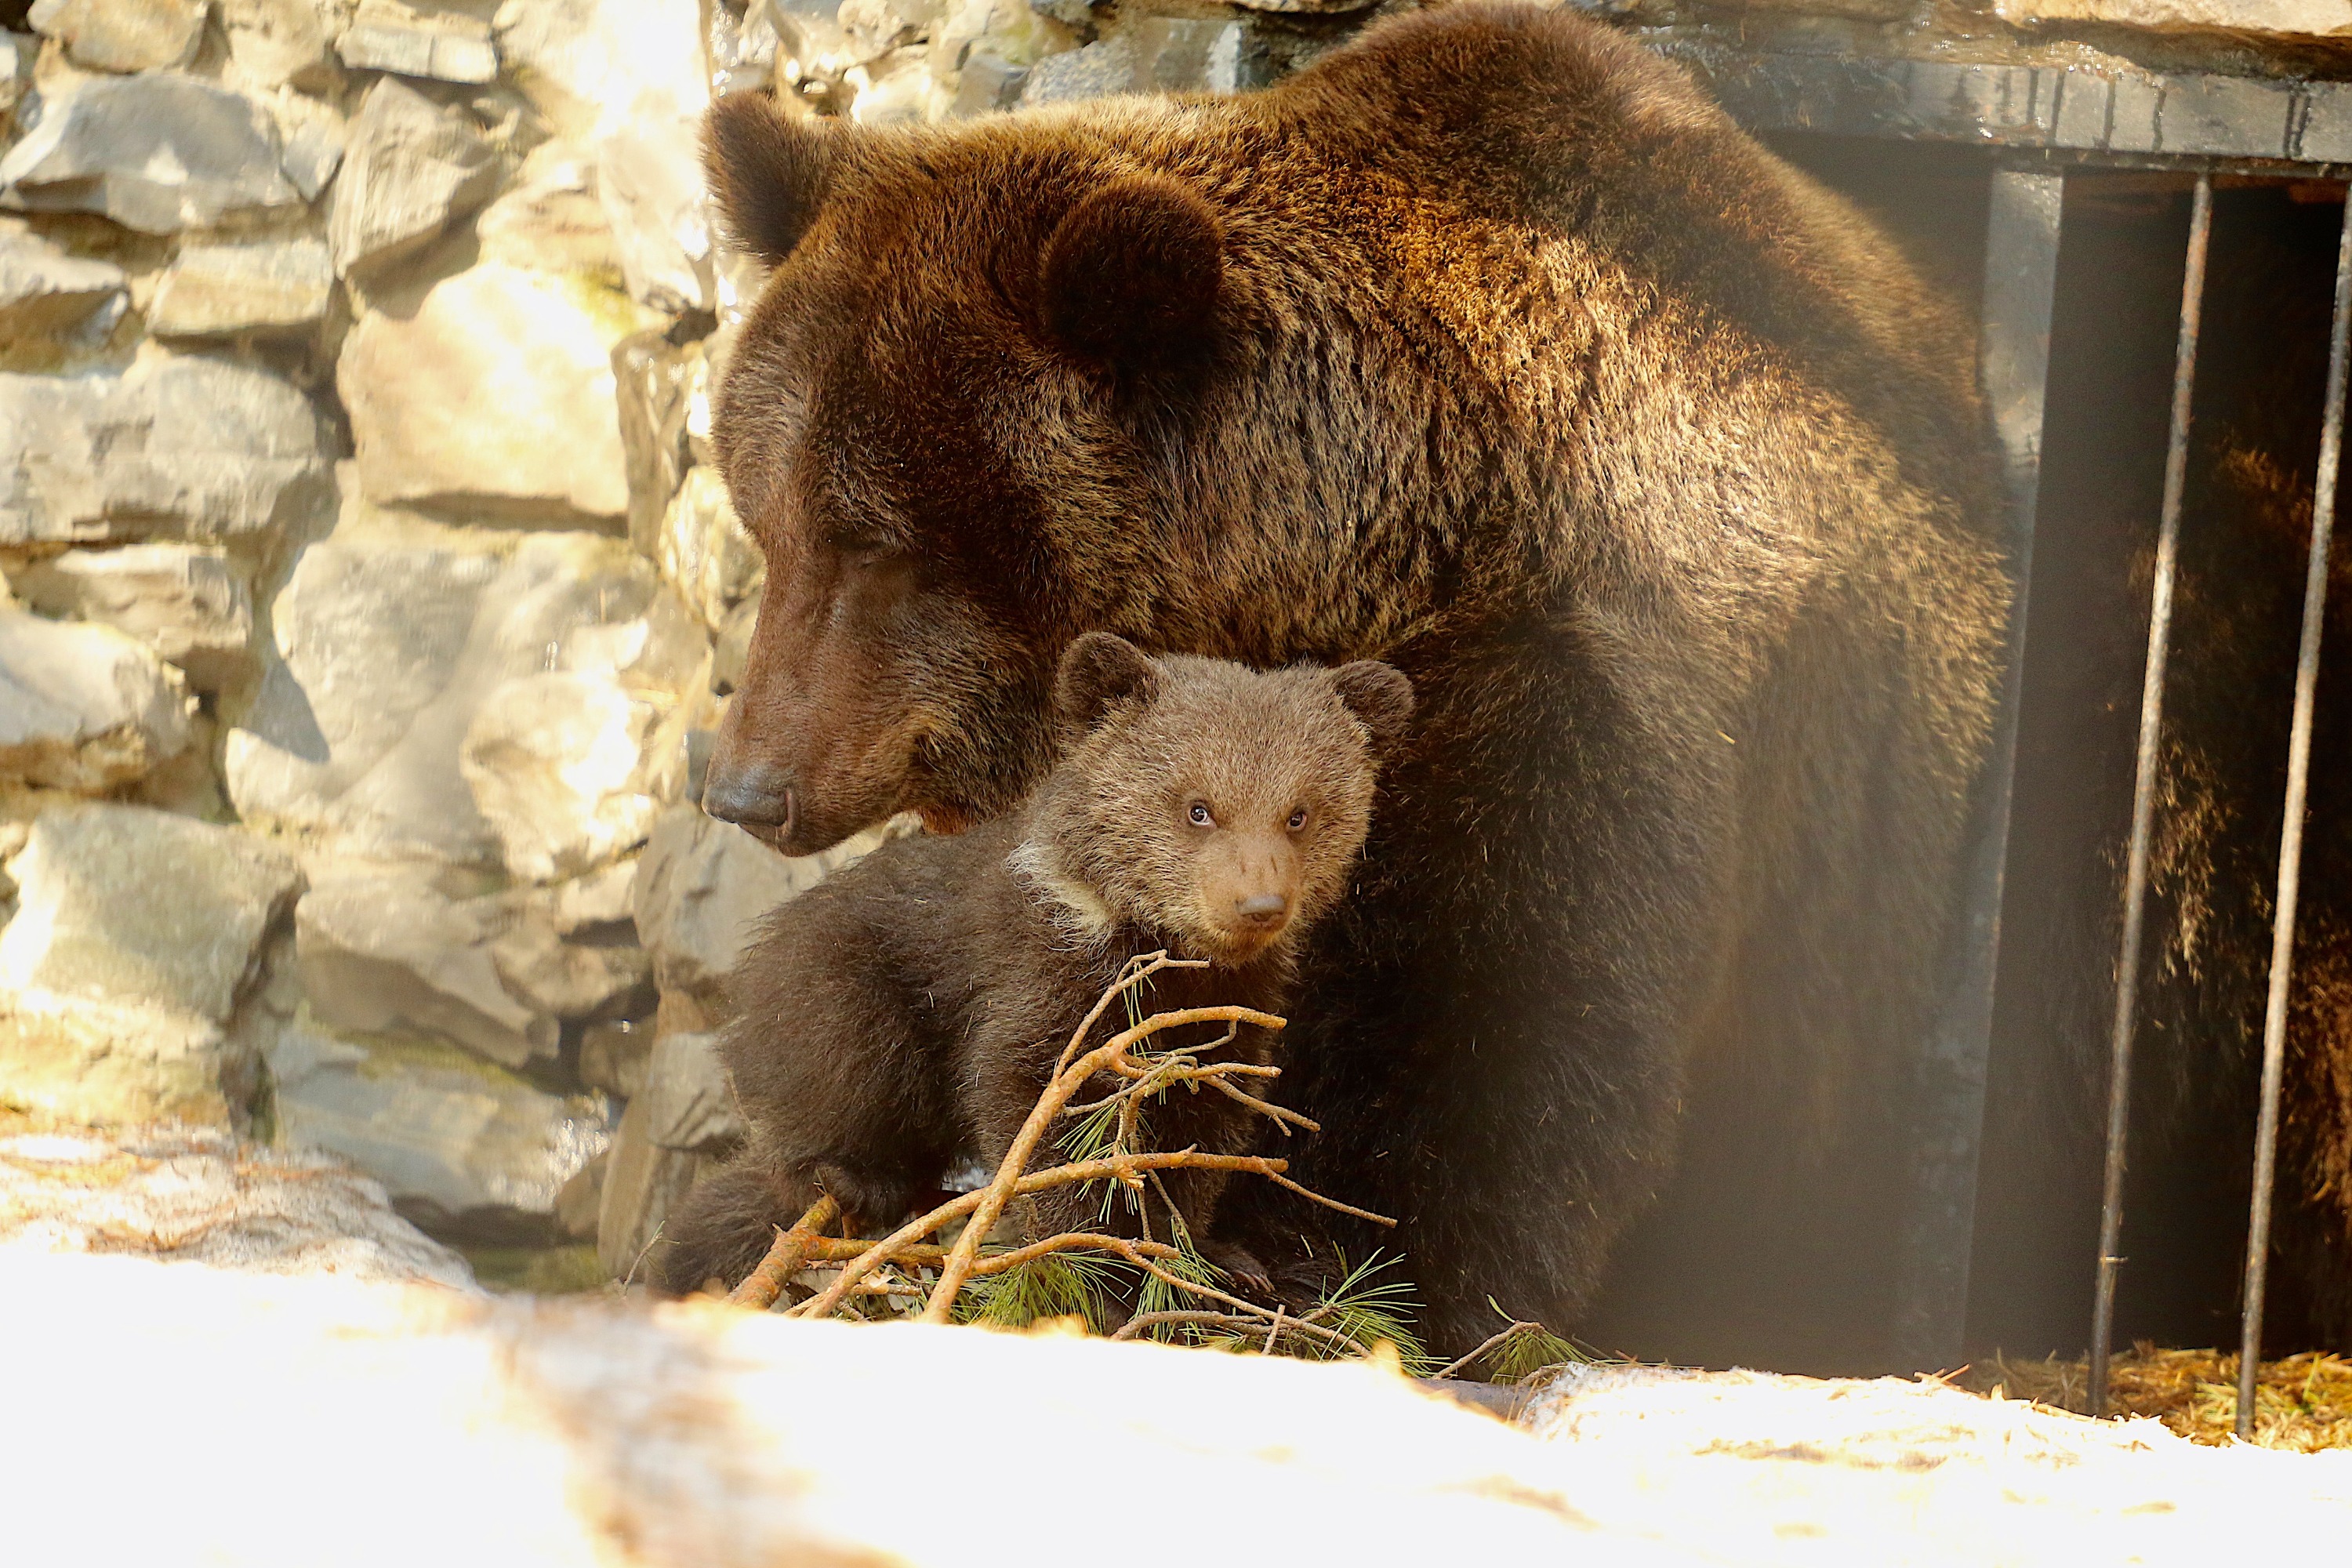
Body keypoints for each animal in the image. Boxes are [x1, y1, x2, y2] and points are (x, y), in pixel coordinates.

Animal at [691, 2, 2004, 1363]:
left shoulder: (1561, 706)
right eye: (767, 515)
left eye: (878, 542)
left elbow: (1488, 1039)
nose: (747, 789)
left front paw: (1342, 1264)